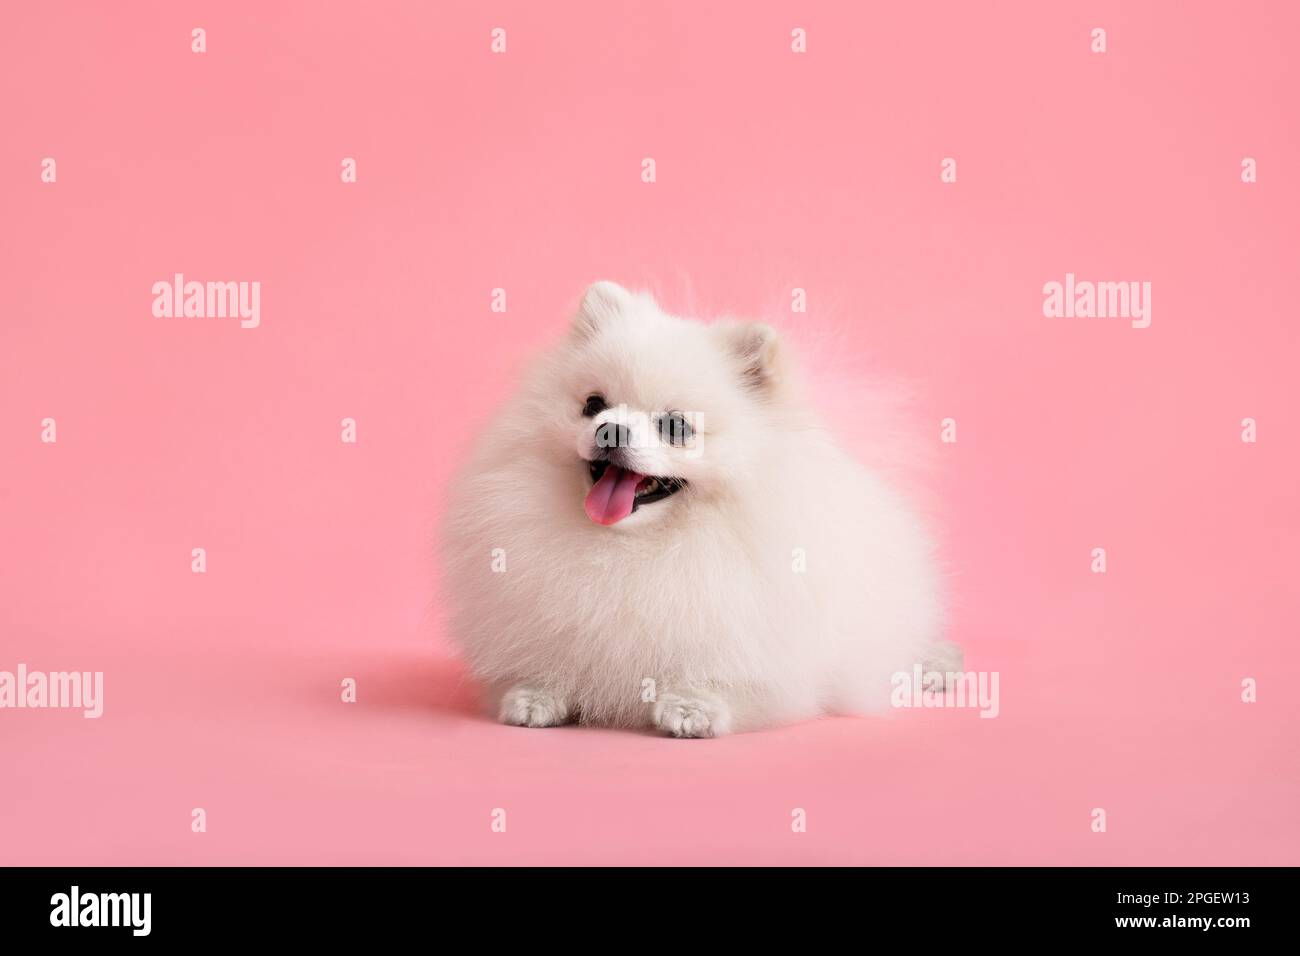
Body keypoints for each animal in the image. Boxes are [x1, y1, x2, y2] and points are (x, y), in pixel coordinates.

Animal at [439, 280, 956, 738]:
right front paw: (536, 694)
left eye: (675, 426)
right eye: (593, 404)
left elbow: (722, 674)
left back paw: (938, 666)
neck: (632, 548)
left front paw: (692, 707)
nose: (611, 429)